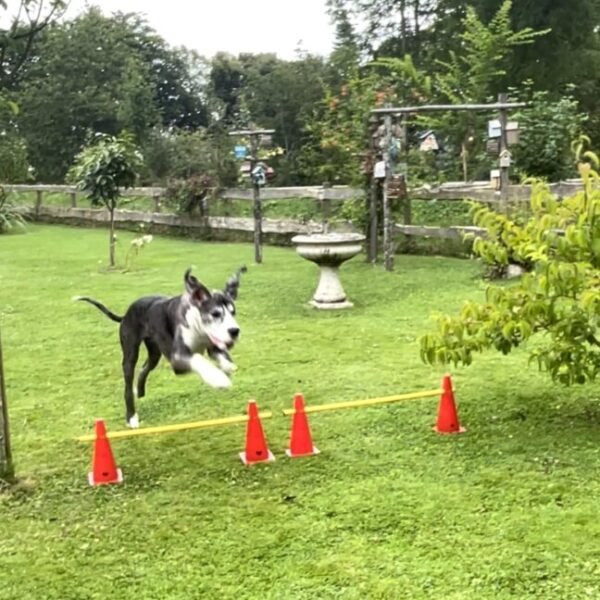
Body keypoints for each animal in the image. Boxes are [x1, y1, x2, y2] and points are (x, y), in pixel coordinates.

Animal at [74, 266, 246, 426]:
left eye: (233, 312)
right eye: (215, 314)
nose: (234, 331)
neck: (197, 322)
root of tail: (126, 314)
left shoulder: (213, 345)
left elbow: (222, 357)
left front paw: (227, 368)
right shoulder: (178, 359)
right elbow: (198, 360)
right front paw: (218, 378)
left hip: (154, 353)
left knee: (144, 368)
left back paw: (140, 391)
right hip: (130, 354)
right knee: (128, 385)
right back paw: (131, 417)